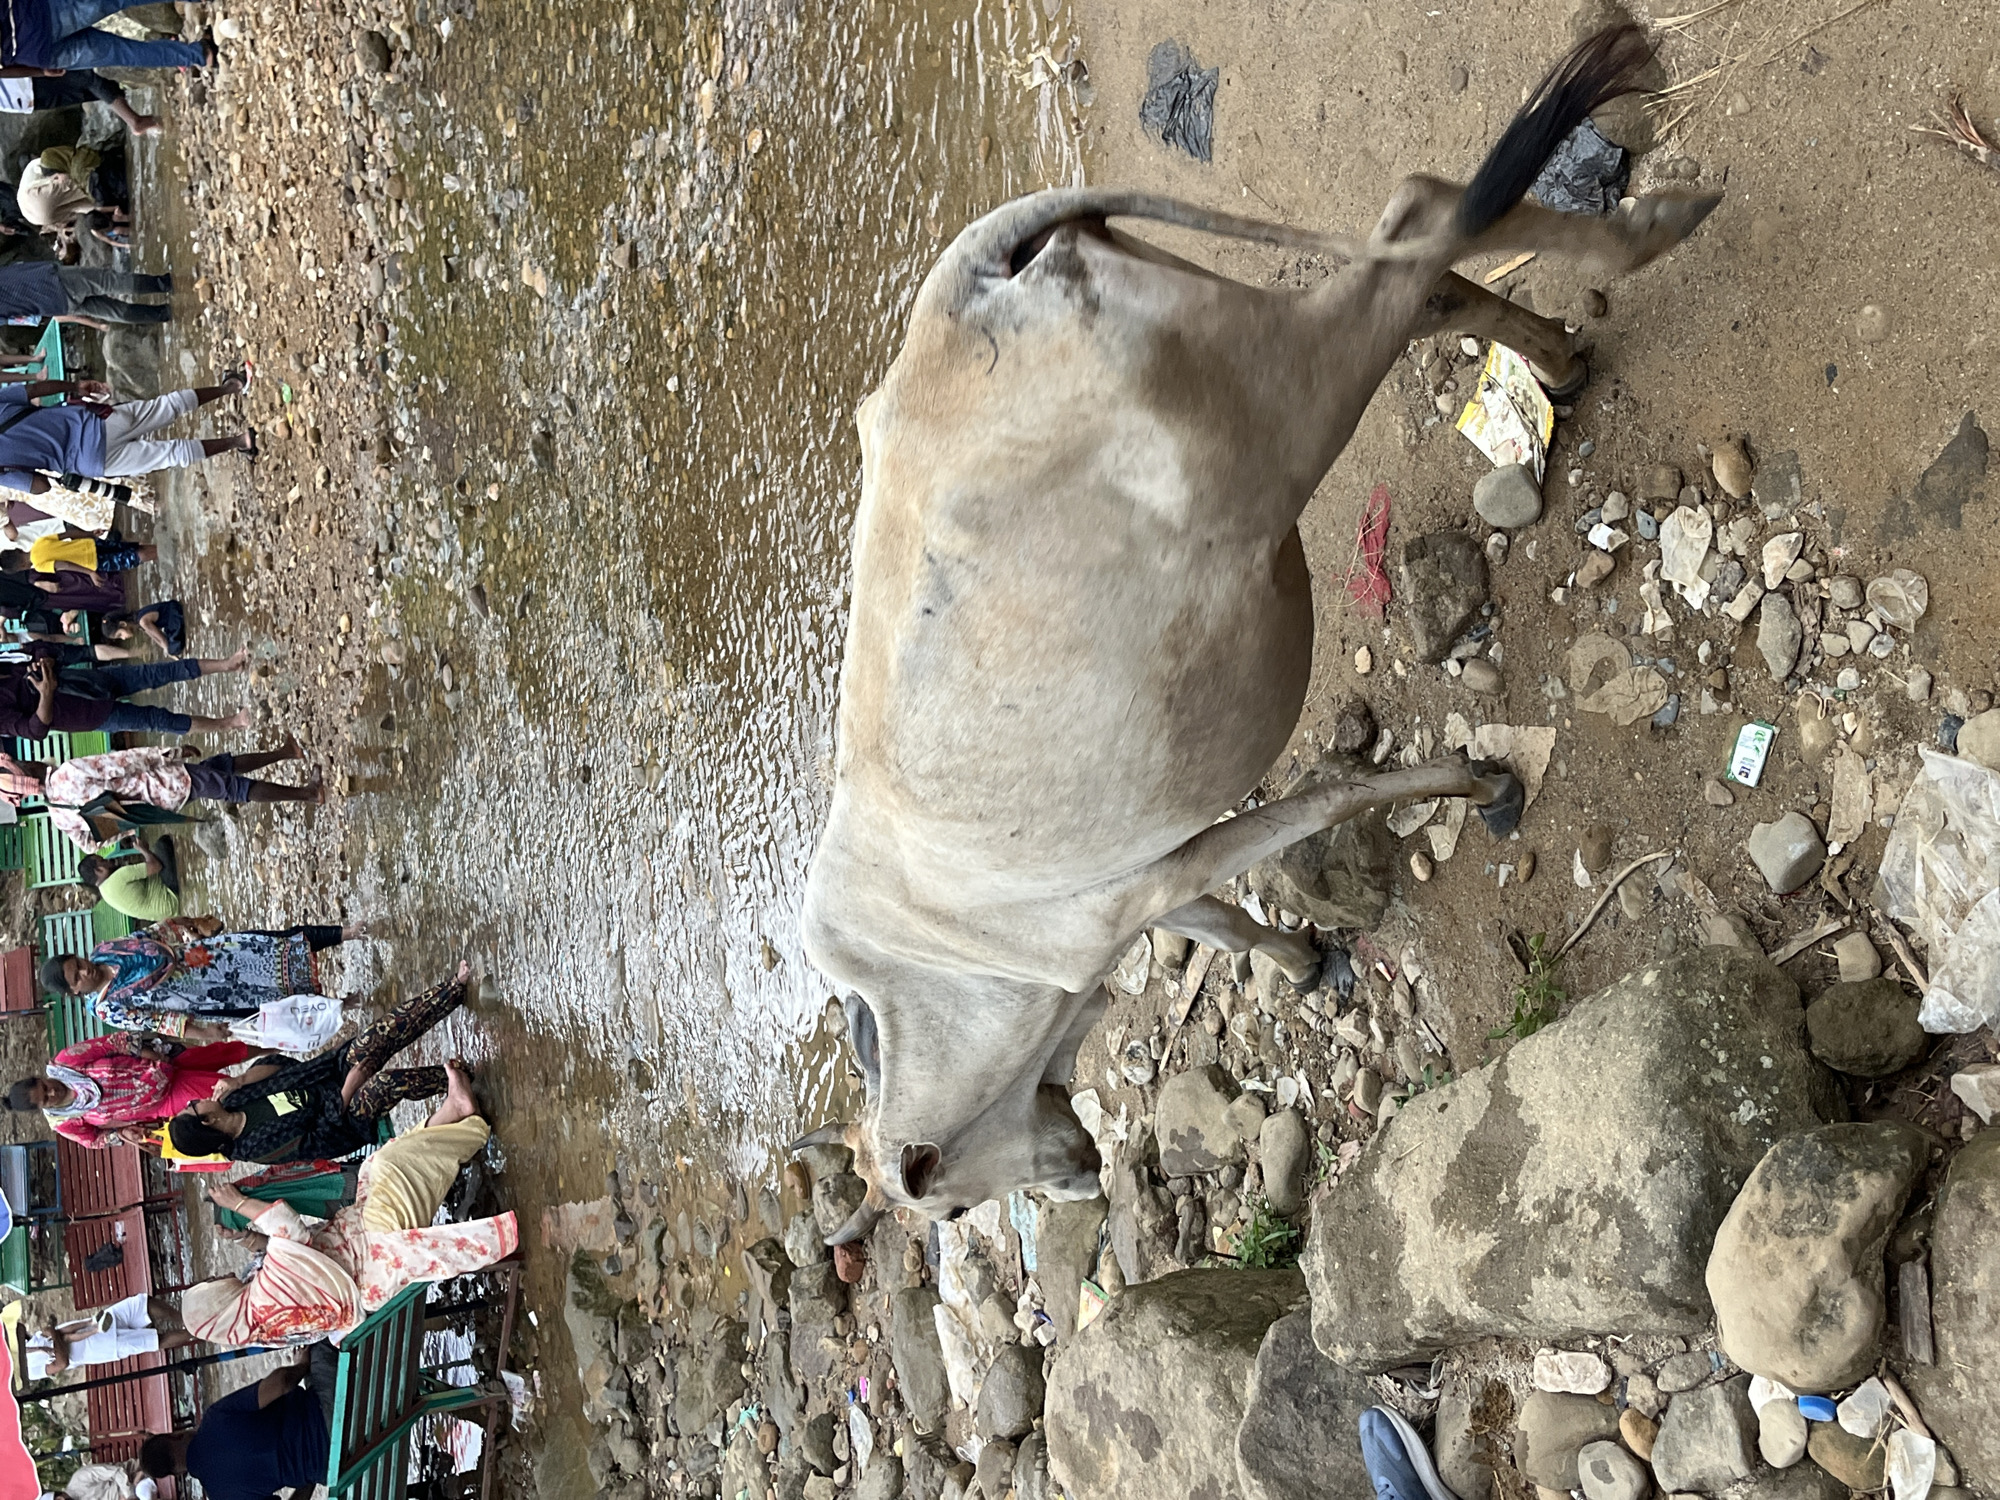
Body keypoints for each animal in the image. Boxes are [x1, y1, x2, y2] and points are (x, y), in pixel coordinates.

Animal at [795, 24, 1719, 1239]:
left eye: (943, 1215)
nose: (1082, 1174)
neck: (937, 976)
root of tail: (968, 286)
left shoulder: (1125, 895)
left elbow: (1317, 810)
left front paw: (1475, 783)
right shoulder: (1155, 877)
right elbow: (1225, 923)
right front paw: (1302, 955)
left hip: (1288, 411)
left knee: (1421, 224)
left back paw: (1647, 231)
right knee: (1421, 248)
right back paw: (1564, 347)